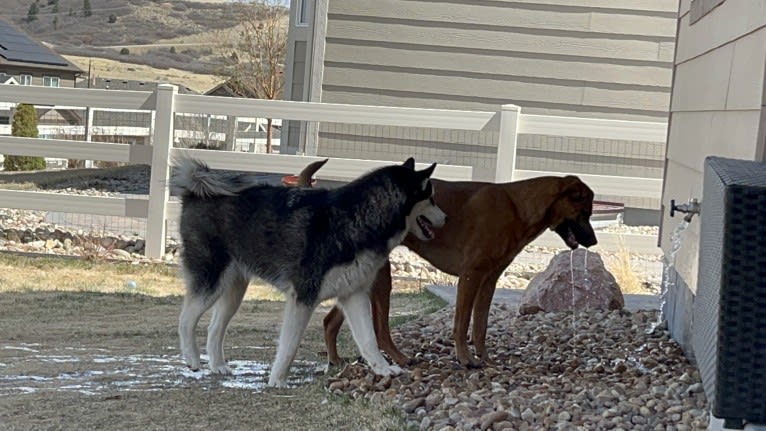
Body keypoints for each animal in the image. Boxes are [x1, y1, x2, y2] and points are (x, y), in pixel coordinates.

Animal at [322, 175, 600, 368]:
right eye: (585, 213)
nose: (594, 242)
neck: (518, 207)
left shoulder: (489, 280)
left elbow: (481, 324)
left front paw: (484, 358)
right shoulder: (471, 275)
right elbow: (462, 322)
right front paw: (465, 359)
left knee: (330, 321)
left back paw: (335, 360)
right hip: (381, 277)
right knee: (380, 330)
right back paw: (400, 359)